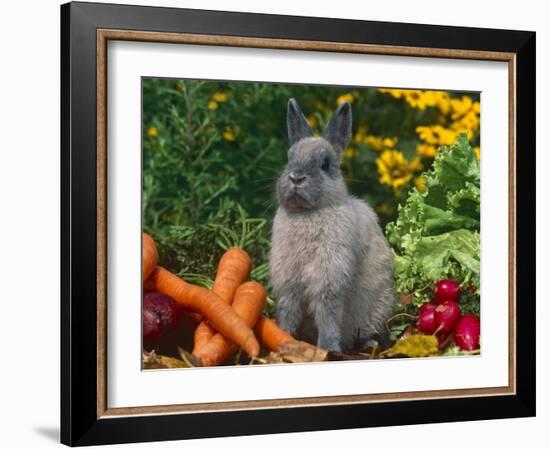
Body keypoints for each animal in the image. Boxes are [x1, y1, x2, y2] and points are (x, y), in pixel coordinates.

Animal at [270, 97, 396, 350]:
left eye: (325, 164)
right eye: (289, 159)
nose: (296, 178)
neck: (308, 213)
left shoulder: (329, 277)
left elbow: (328, 313)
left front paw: (328, 348)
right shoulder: (288, 281)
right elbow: (288, 310)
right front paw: (284, 336)